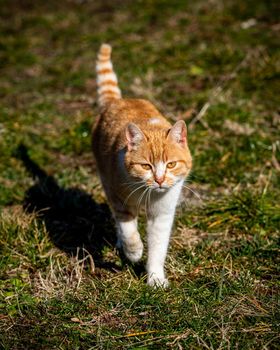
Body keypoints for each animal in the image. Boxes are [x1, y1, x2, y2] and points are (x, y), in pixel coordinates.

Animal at [92, 43, 192, 286]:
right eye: (146, 166)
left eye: (171, 164)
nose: (159, 179)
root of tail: (117, 101)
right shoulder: (119, 198)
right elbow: (128, 228)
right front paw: (134, 252)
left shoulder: (162, 215)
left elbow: (158, 248)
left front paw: (155, 279)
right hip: (106, 180)